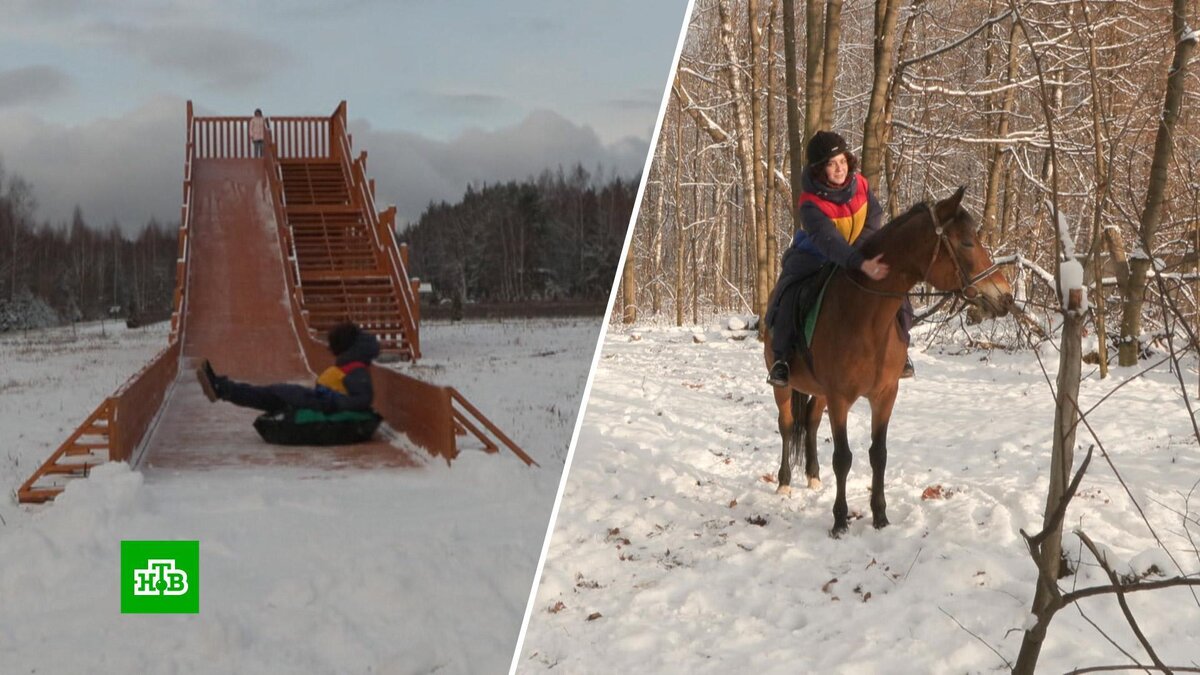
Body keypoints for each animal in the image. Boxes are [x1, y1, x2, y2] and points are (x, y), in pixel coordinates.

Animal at [758, 186, 1012, 533]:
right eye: (966, 242)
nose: (1006, 296)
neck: (865, 317)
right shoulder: (840, 398)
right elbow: (843, 458)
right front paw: (840, 520)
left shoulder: (885, 394)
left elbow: (879, 454)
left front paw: (880, 516)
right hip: (782, 385)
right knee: (786, 425)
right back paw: (784, 482)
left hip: (820, 392)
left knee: (809, 422)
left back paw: (813, 476)